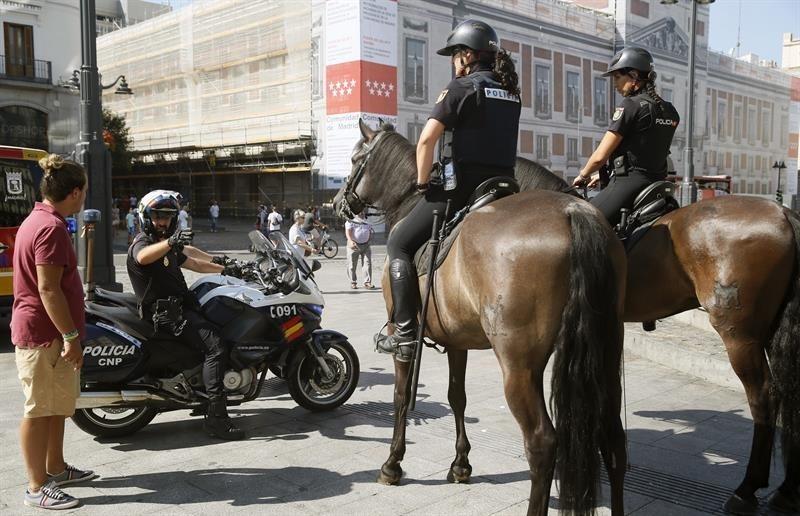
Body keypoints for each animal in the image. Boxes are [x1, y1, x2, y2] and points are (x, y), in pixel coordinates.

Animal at [334, 119, 628, 512]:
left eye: (354, 160)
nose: (337, 203)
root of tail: (573, 212)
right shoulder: (457, 340)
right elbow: (456, 396)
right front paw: (461, 464)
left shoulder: (403, 335)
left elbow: (400, 395)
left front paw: (392, 463)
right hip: (604, 354)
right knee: (613, 440)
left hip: (519, 366)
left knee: (542, 442)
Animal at [512, 156, 800, 512]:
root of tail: (783, 213)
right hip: (773, 329)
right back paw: (786, 490)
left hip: (740, 334)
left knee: (764, 397)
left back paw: (747, 489)